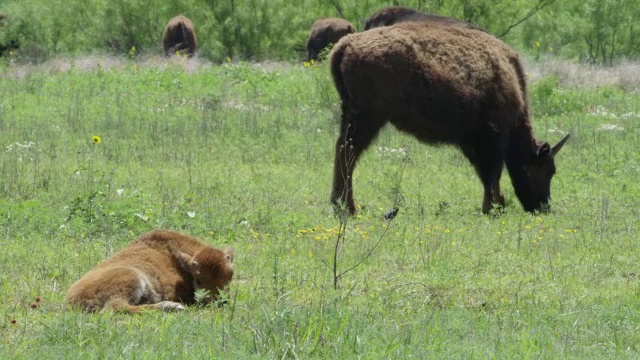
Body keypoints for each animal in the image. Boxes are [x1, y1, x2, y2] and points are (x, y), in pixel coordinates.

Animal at [66, 231, 235, 312]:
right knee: (115, 307)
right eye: (199, 280)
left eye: (230, 277)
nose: (220, 301)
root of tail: (70, 299)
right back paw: (172, 307)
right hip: (132, 277)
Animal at [330, 22, 568, 215]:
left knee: (342, 148)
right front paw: (495, 206)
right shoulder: (492, 137)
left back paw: (340, 206)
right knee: (349, 152)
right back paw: (348, 208)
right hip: (369, 117)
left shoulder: (471, 141)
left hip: (350, 113)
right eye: (547, 170)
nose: (543, 207)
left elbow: (485, 173)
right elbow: (492, 172)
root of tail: (346, 44)